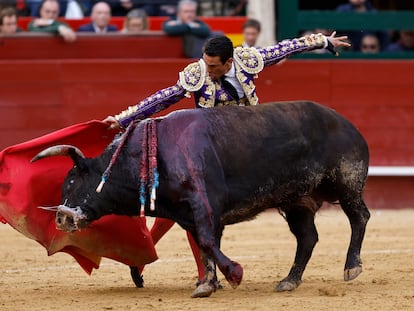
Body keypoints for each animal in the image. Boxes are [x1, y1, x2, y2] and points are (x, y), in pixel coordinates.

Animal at [31, 101, 368, 298]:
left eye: (72, 181)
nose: (61, 217)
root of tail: (346, 122)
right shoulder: (187, 213)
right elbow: (204, 245)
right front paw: (207, 283)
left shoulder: (203, 203)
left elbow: (207, 240)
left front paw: (234, 274)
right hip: (297, 200)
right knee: (307, 237)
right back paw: (289, 280)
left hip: (347, 182)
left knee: (358, 217)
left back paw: (351, 267)